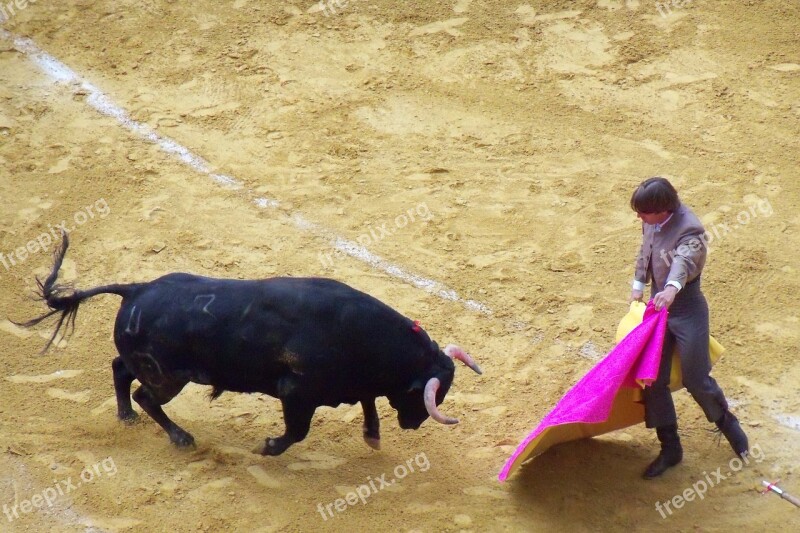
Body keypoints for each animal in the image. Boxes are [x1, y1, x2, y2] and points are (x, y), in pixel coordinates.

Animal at [20, 235, 482, 456]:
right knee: (146, 395)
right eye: (423, 397)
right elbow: (297, 432)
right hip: (170, 378)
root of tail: (136, 289)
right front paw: (268, 447)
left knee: (119, 369)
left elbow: (367, 400)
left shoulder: (350, 384)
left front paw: (372, 435)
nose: (413, 425)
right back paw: (181, 438)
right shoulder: (297, 394)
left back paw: (125, 417)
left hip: (149, 364)